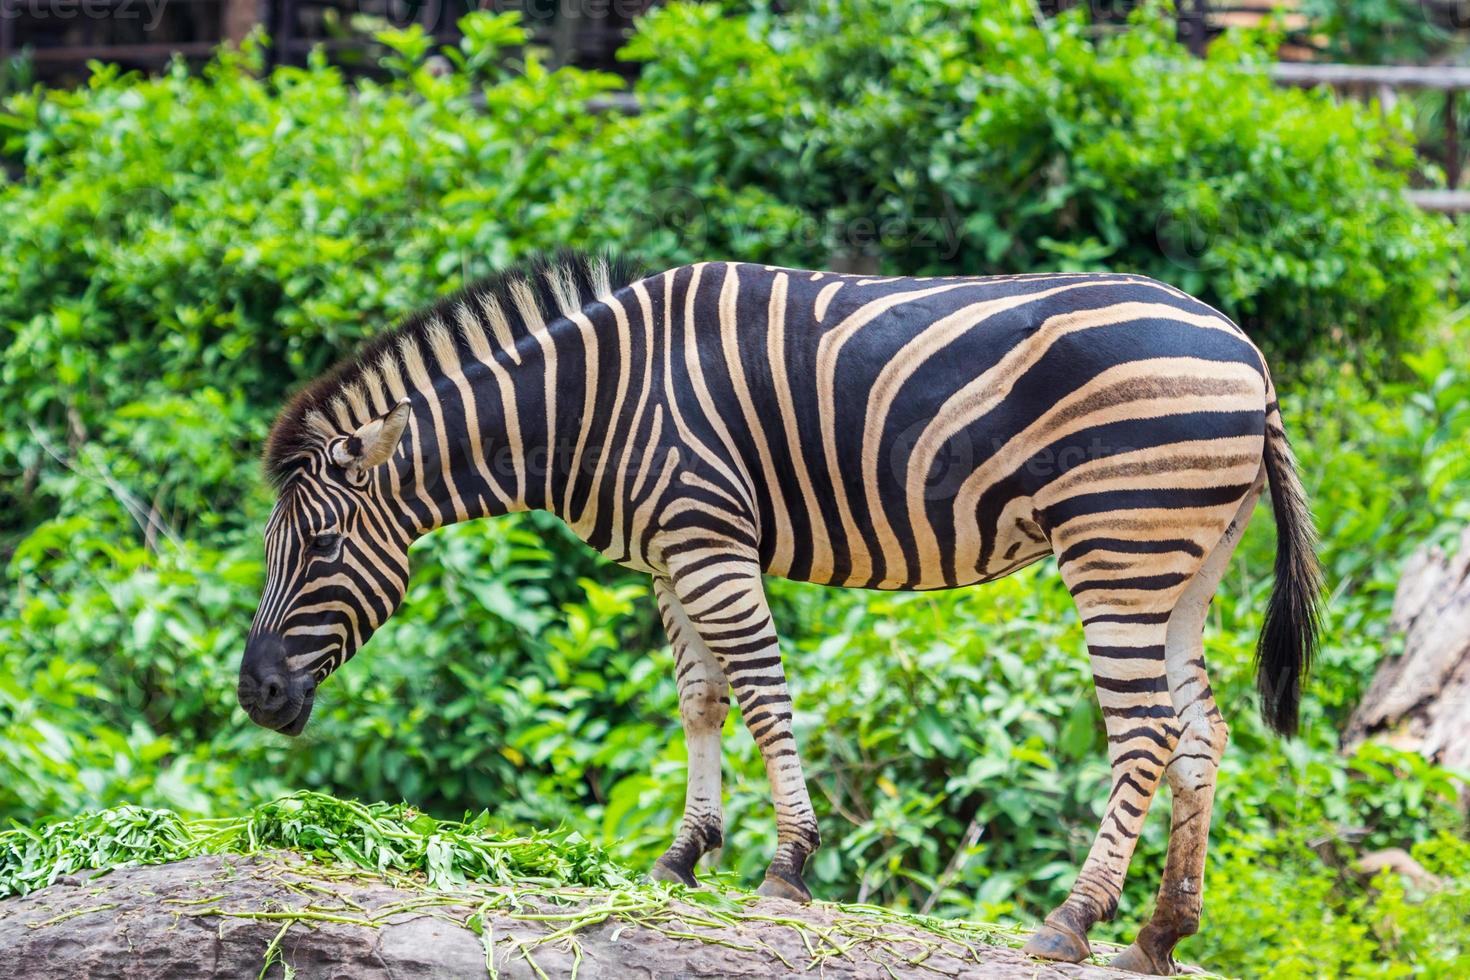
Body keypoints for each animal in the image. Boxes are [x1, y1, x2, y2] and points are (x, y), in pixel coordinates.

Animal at [241, 251, 1323, 975]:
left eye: (322, 549)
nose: (255, 696)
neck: (594, 404)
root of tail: (1251, 355)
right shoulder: (670, 555)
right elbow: (701, 701)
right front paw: (684, 855)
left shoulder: (709, 537)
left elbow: (762, 695)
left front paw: (785, 865)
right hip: (1188, 559)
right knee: (1201, 729)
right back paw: (1161, 933)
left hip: (1119, 541)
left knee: (1145, 730)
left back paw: (1072, 920)